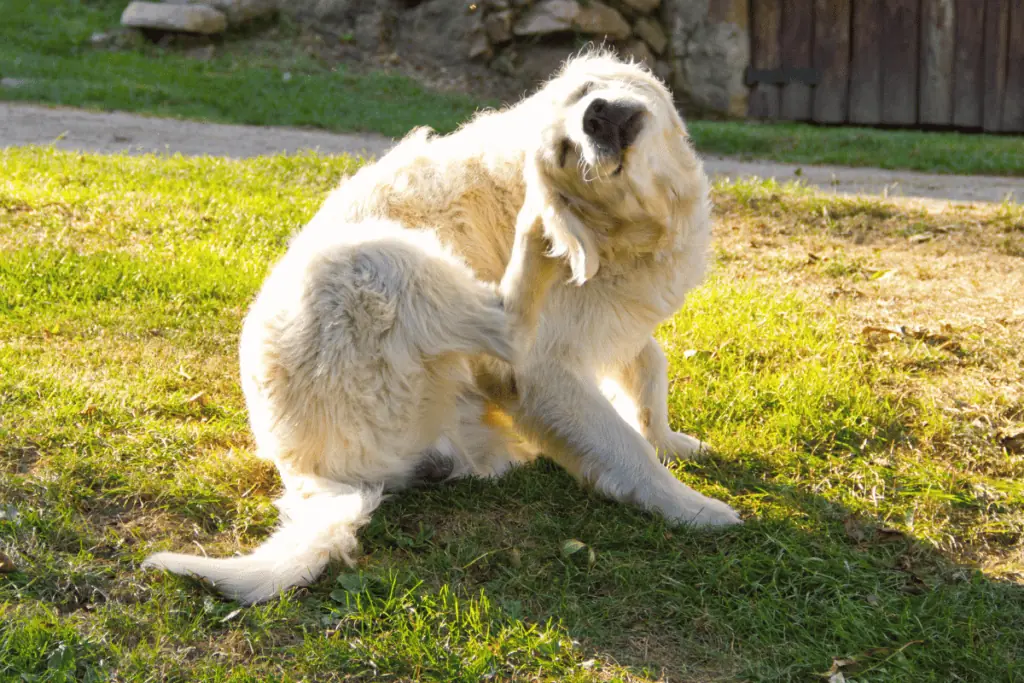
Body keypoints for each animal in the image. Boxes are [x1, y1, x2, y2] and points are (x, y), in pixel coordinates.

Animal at [144, 50, 741, 602]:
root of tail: (308, 473)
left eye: (586, 92)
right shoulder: (544, 371)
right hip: (371, 258)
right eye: (564, 153)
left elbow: (649, 367)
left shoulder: (616, 320)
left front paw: (671, 440)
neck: (630, 229)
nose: (593, 116)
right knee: (505, 325)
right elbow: (625, 446)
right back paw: (536, 234)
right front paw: (691, 507)